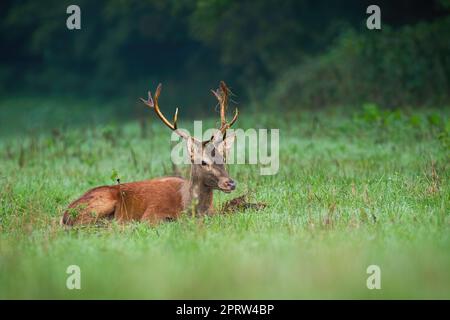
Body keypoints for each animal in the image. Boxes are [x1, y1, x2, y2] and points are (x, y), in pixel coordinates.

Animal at [62, 80, 243, 225]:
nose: (230, 183)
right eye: (203, 162)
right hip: (100, 204)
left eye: (224, 159)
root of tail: (65, 214)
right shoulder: (152, 214)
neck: (188, 206)